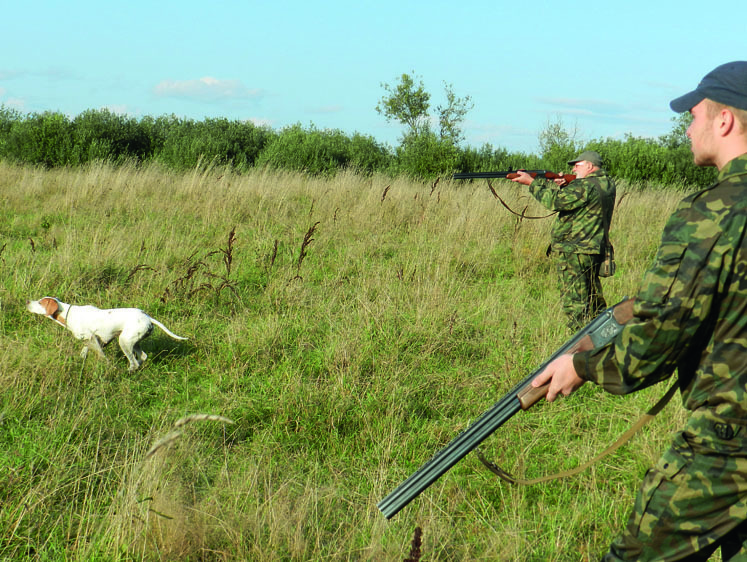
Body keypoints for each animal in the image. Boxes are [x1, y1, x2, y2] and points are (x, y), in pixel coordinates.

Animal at [27, 296, 188, 370]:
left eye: (41, 302)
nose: (27, 301)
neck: (68, 313)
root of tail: (147, 317)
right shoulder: (94, 340)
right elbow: (84, 352)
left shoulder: (93, 338)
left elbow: (102, 356)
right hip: (133, 341)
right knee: (142, 356)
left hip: (124, 341)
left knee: (134, 362)